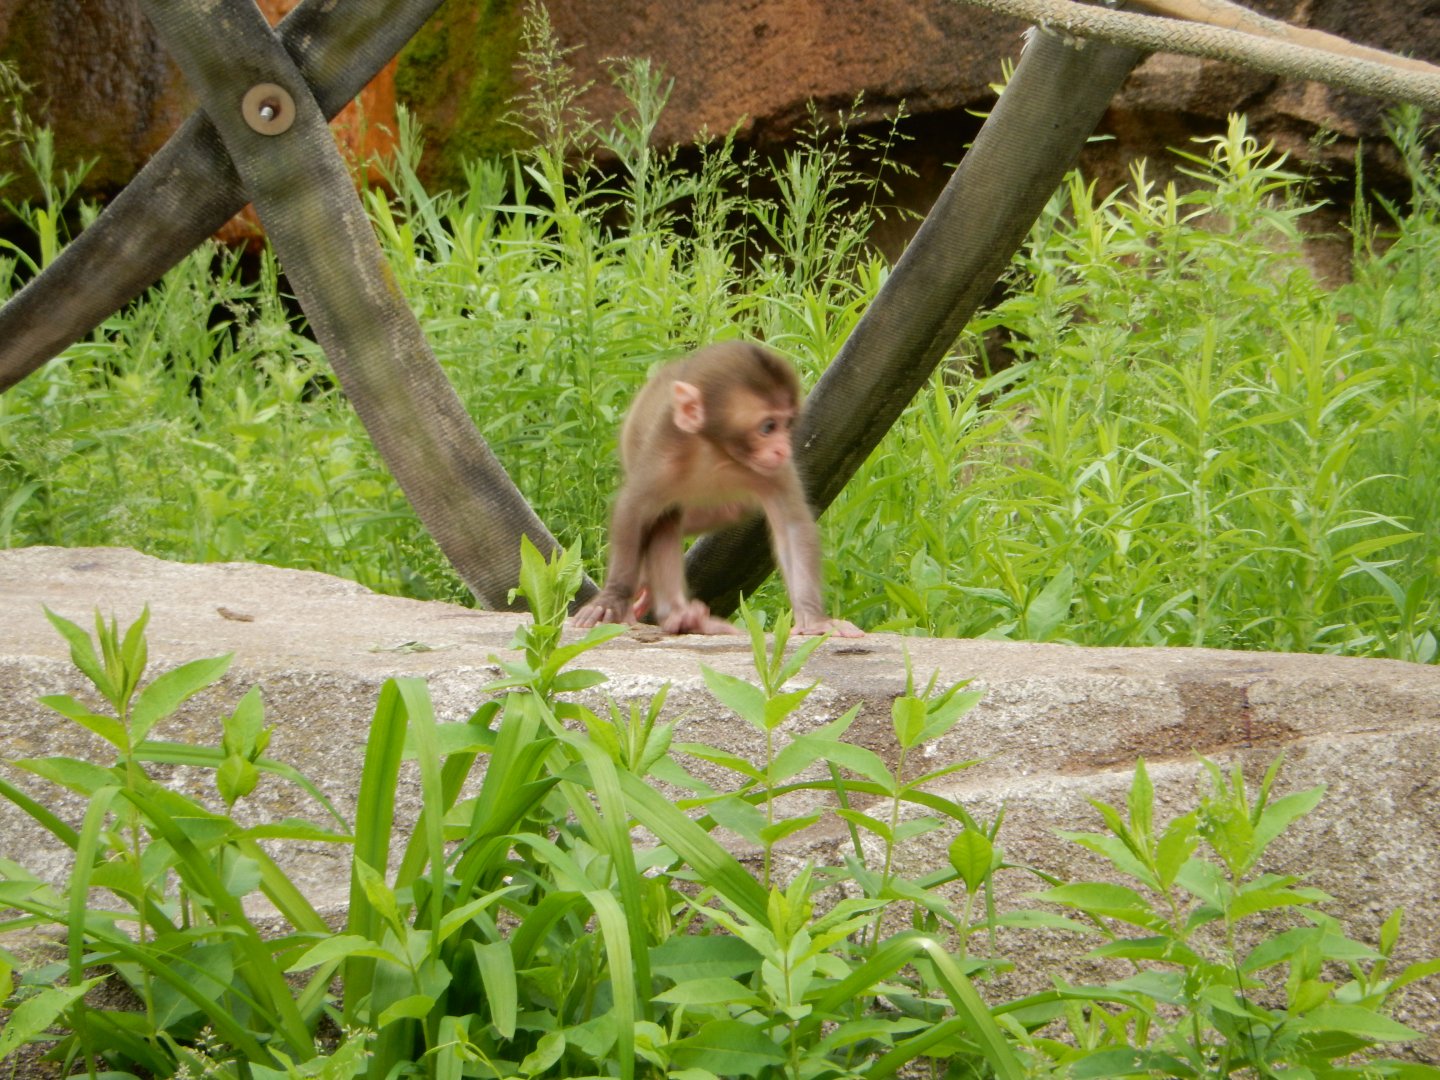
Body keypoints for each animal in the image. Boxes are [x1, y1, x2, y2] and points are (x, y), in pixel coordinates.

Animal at [573, 341, 863, 638]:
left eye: (788, 424)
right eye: (768, 427)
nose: (783, 449)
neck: (718, 454)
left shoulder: (775, 471)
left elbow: (792, 526)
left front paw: (815, 620)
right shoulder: (662, 458)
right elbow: (633, 511)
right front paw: (613, 599)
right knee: (664, 520)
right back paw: (678, 614)